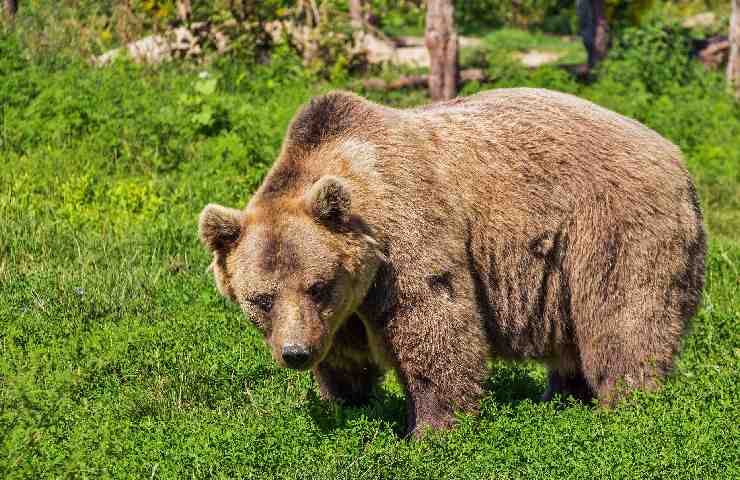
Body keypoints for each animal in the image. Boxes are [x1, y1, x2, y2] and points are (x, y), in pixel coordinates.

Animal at [199, 88, 708, 436]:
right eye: (261, 299)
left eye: (317, 285)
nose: (295, 353)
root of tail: (676, 155)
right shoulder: (342, 310)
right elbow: (345, 359)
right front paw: (349, 406)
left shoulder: (405, 238)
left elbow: (434, 326)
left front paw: (431, 429)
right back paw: (561, 397)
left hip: (612, 227)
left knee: (624, 319)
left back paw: (627, 407)